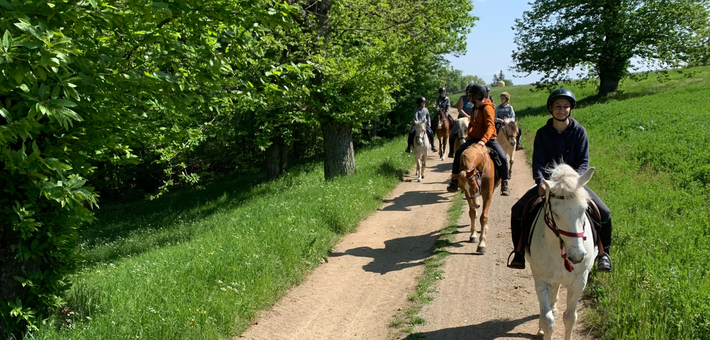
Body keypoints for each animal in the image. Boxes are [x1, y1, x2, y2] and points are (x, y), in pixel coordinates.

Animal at [528, 163, 600, 338]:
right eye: (555, 213)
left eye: (584, 209)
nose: (578, 256)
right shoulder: (542, 280)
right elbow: (547, 320)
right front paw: (544, 326)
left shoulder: (579, 282)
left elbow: (570, 318)